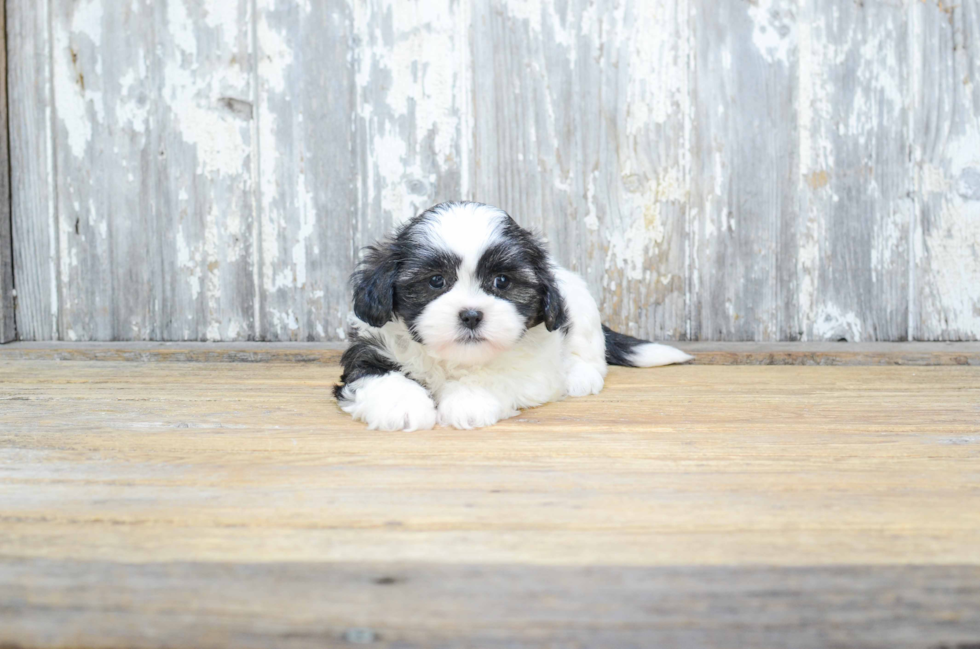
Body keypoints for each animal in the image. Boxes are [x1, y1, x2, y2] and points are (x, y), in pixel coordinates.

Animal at [334, 200, 692, 428]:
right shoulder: (369, 347)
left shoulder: (533, 372)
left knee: (590, 352)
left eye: (502, 281)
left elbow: (494, 377)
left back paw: (580, 376)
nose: (471, 315)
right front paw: (401, 405)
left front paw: (468, 400)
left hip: (581, 307)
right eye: (436, 280)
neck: (454, 360)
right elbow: (378, 374)